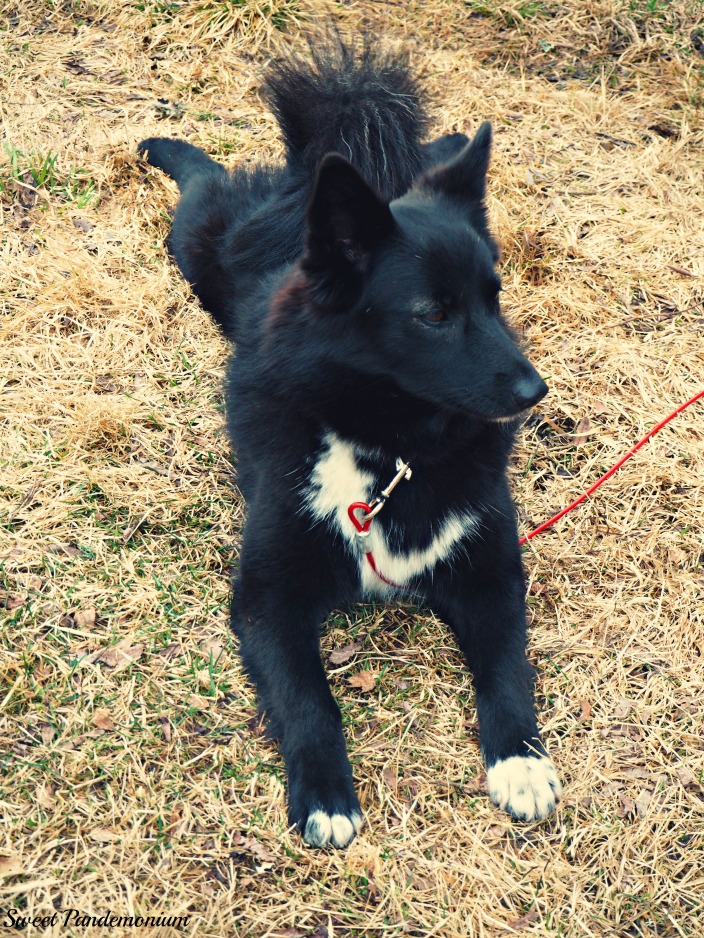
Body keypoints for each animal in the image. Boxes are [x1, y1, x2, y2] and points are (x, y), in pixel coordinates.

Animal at [137, 38, 561, 849]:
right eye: (433, 314)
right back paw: (162, 147)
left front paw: (520, 762)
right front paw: (327, 795)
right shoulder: (267, 598)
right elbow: (310, 700)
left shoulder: (492, 575)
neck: (391, 451)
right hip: (197, 245)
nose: (535, 392)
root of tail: (317, 173)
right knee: (204, 181)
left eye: (495, 298)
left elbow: (508, 669)